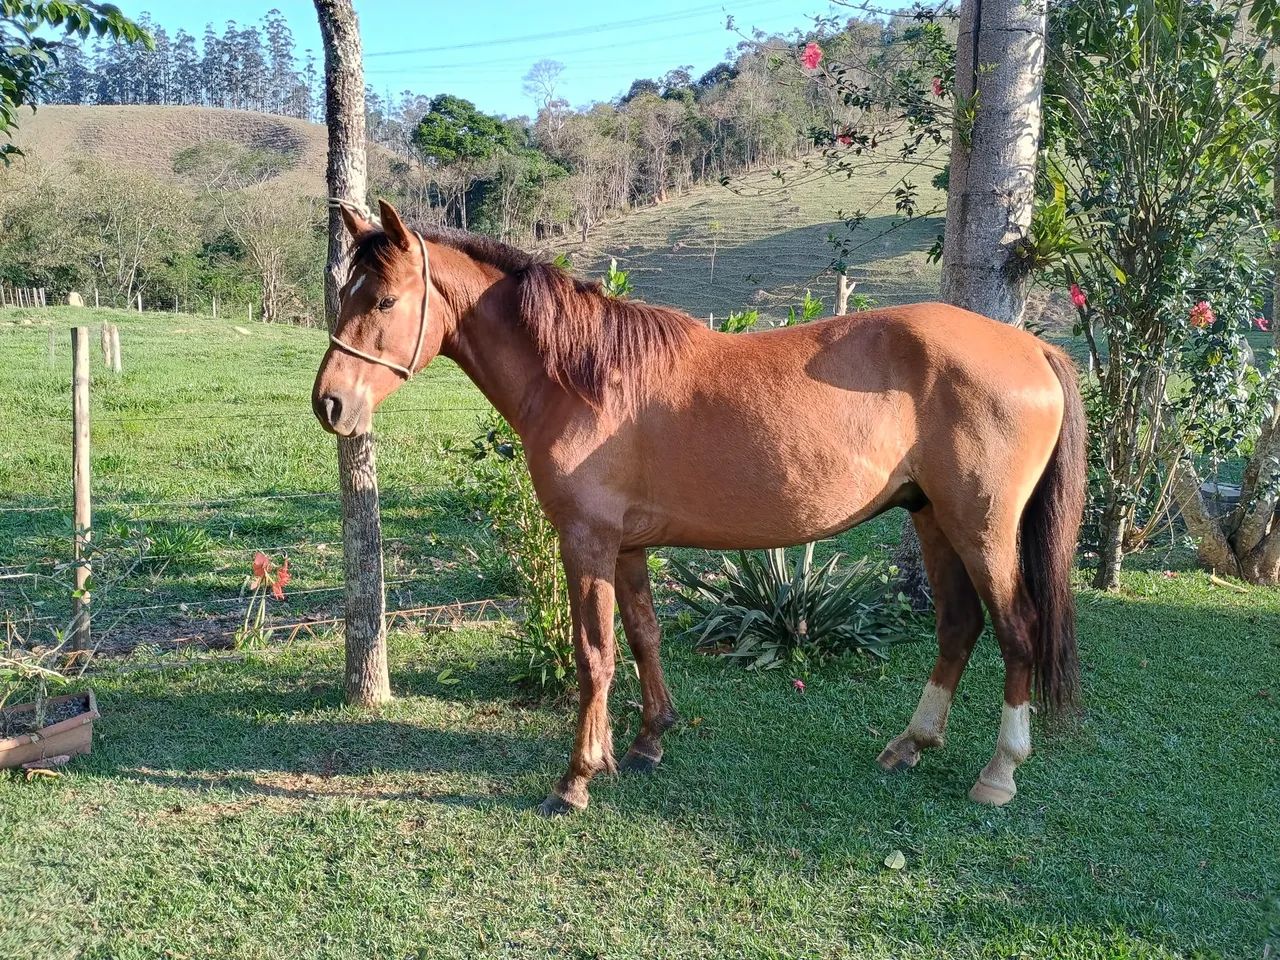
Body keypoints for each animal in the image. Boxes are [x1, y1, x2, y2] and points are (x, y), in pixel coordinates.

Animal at [312, 200, 1086, 815]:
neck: (587, 379)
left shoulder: (586, 542)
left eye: (384, 302)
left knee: (1016, 630)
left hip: (982, 529)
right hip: (932, 518)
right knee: (958, 626)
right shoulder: (626, 547)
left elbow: (593, 654)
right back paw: (911, 744)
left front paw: (577, 778)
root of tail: (1033, 348)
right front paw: (647, 743)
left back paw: (998, 773)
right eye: (345, 294)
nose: (330, 405)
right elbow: (643, 637)